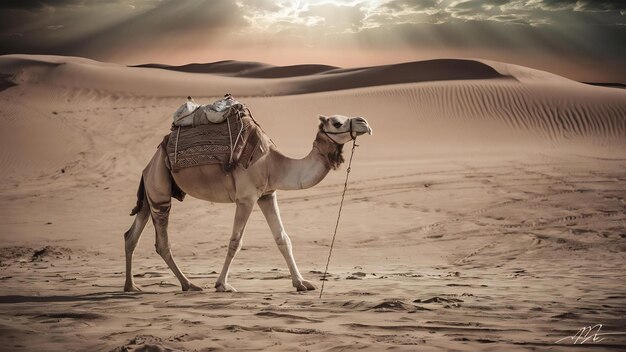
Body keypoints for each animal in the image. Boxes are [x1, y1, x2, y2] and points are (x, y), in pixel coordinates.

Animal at [122, 114, 370, 292]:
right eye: (337, 123)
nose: (365, 123)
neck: (273, 164)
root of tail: (149, 164)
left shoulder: (267, 195)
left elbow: (283, 239)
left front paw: (301, 283)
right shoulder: (246, 198)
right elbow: (235, 242)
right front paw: (222, 285)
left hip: (151, 194)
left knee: (131, 235)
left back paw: (131, 287)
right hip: (160, 192)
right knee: (162, 243)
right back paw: (189, 284)